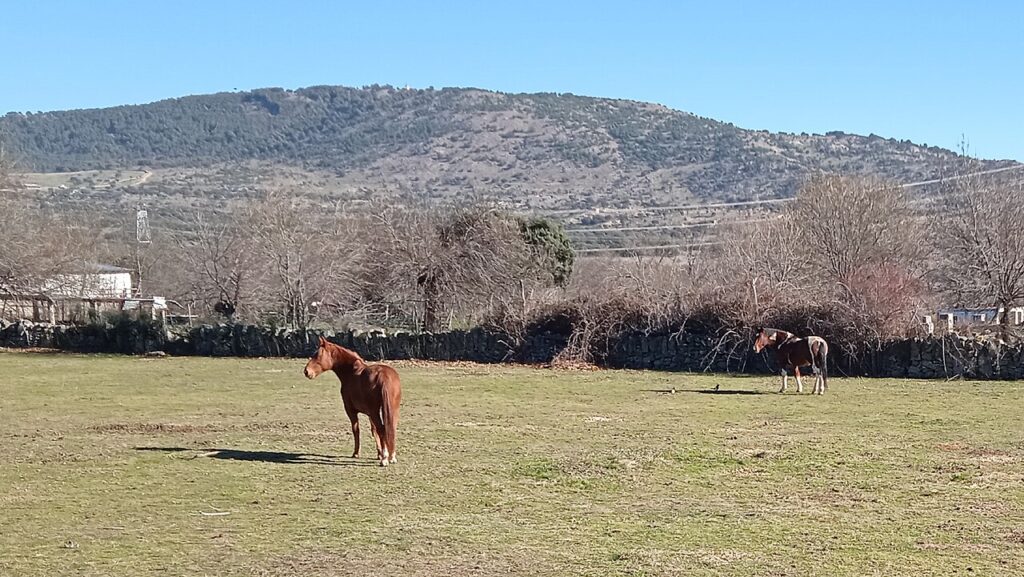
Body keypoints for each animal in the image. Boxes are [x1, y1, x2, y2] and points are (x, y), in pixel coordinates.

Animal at [303, 336, 402, 466]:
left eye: (317, 355)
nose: (306, 371)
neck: (351, 372)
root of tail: (384, 375)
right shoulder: (370, 413)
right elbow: (374, 431)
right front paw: (379, 454)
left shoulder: (351, 410)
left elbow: (356, 430)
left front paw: (356, 453)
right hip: (392, 410)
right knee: (391, 428)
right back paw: (392, 457)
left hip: (375, 412)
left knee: (382, 429)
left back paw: (385, 459)